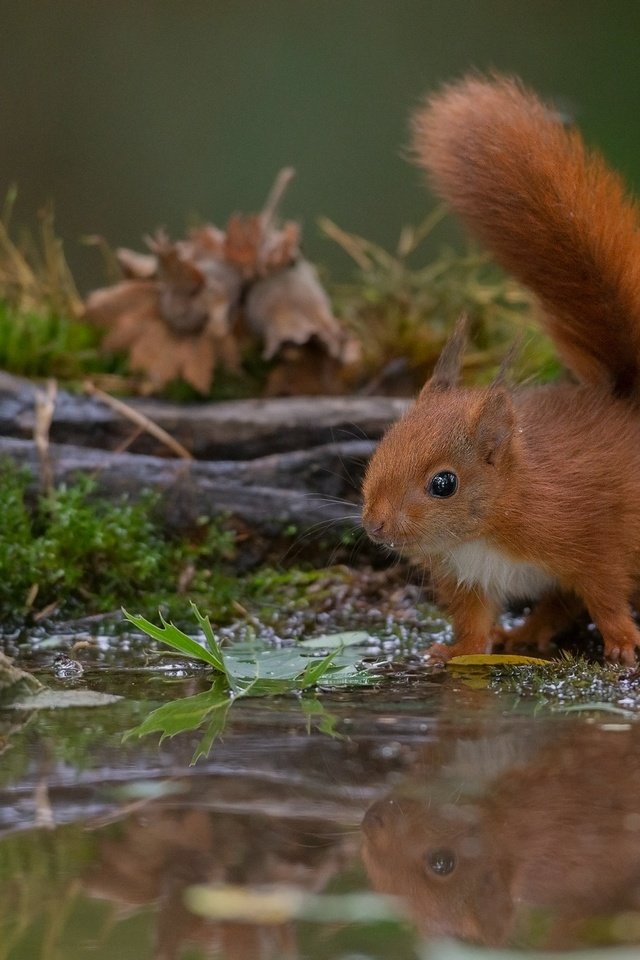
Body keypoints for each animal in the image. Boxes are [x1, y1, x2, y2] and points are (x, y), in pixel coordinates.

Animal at [360, 75, 640, 664]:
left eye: (444, 483)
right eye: (380, 447)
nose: (374, 525)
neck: (485, 529)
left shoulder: (594, 541)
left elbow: (605, 595)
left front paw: (624, 644)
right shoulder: (467, 578)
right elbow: (472, 621)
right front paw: (455, 651)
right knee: (557, 603)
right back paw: (526, 632)